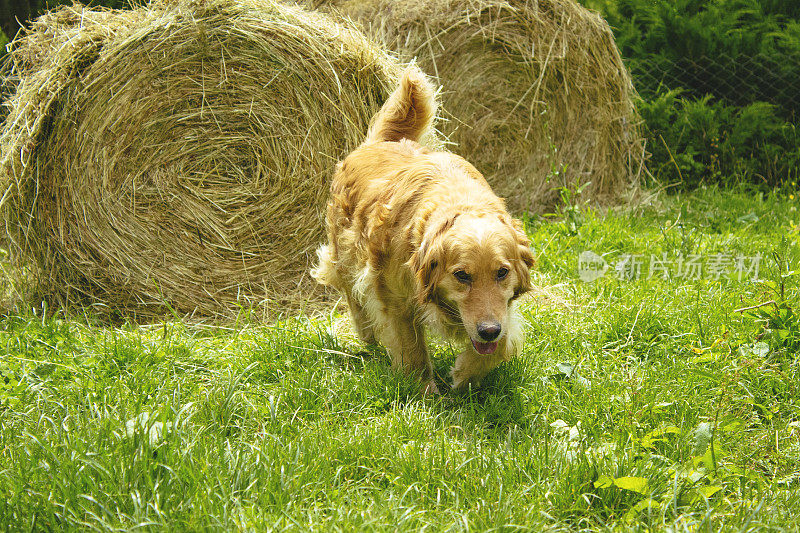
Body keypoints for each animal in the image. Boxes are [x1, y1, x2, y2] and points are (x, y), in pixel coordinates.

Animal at [310, 66, 532, 392]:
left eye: (502, 272)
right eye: (461, 276)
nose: (488, 330)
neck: (458, 201)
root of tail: (379, 143)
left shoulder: (501, 310)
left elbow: (500, 345)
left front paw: (465, 374)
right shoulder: (394, 297)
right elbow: (412, 351)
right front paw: (425, 392)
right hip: (345, 251)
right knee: (353, 294)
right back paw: (367, 336)